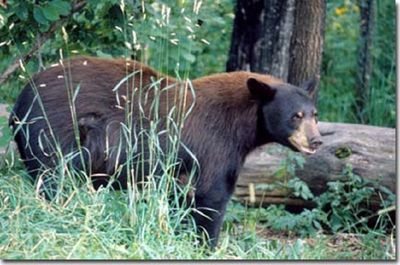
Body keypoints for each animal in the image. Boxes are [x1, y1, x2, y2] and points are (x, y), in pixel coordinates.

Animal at [8, 56, 322, 248]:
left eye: (314, 114)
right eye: (295, 115)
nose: (316, 140)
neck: (242, 123)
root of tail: (19, 101)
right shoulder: (216, 147)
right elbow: (212, 198)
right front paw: (207, 245)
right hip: (54, 136)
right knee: (53, 181)